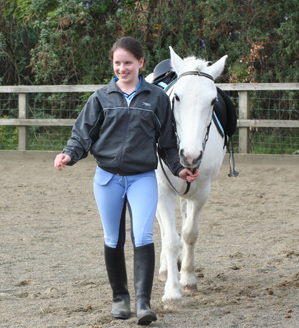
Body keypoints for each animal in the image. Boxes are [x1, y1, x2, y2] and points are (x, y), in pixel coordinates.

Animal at [147, 47, 227, 308]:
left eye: (213, 101)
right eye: (178, 97)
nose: (190, 156)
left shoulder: (201, 191)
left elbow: (190, 234)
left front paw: (188, 279)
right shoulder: (162, 191)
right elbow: (171, 239)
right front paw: (172, 291)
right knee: (164, 231)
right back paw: (165, 269)